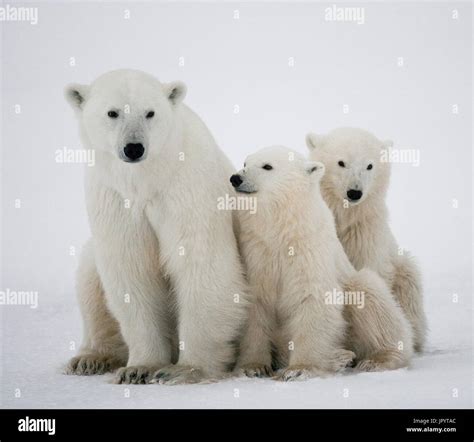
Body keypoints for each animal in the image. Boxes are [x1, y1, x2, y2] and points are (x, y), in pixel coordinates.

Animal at [64, 68, 248, 384]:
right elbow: (132, 271)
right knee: (89, 277)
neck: (148, 179)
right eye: (113, 112)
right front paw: (139, 368)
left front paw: (184, 369)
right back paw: (89, 359)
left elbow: (201, 263)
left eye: (150, 112)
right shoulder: (114, 197)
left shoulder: (186, 187)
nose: (134, 148)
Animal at [231, 146, 412, 380]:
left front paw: (299, 369)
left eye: (267, 166)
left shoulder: (309, 251)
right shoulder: (257, 252)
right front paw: (252, 367)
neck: (283, 231)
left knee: (370, 296)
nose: (236, 178)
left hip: (355, 288)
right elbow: (256, 305)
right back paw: (340, 357)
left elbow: (313, 297)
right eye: (245, 163)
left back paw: (375, 359)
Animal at [306, 128, 428, 352]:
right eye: (341, 162)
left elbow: (369, 271)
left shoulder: (365, 234)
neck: (344, 218)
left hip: (402, 270)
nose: (354, 192)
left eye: (369, 165)